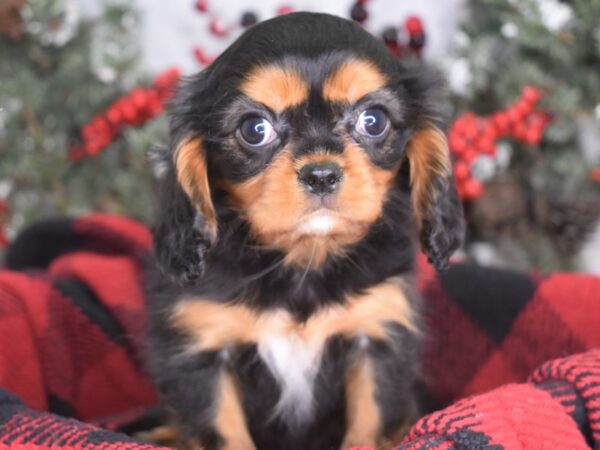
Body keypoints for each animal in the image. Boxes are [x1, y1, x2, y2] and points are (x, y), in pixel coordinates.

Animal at [145, 12, 464, 450]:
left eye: (374, 121)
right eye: (255, 129)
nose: (321, 175)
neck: (303, 258)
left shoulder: (377, 335)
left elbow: (370, 422)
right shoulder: (203, 352)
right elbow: (223, 431)